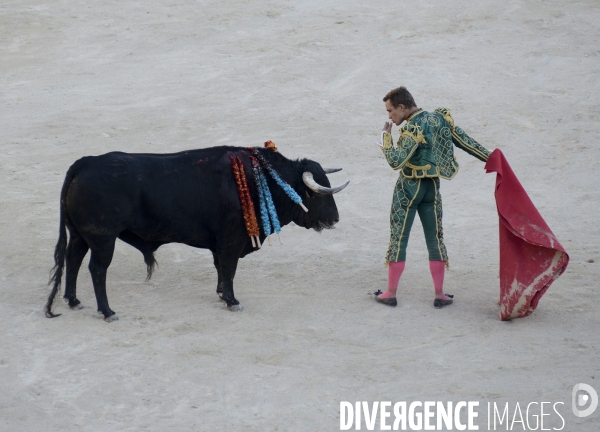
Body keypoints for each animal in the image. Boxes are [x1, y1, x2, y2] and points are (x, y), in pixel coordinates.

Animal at [45, 147, 346, 318]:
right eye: (316, 194)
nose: (335, 219)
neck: (263, 178)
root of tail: (84, 164)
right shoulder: (231, 242)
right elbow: (229, 269)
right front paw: (233, 301)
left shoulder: (221, 245)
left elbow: (221, 270)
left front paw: (222, 295)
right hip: (102, 238)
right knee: (97, 269)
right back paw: (107, 311)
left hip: (80, 235)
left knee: (73, 259)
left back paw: (73, 301)